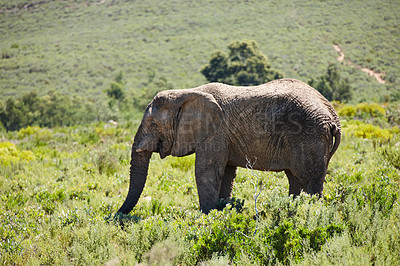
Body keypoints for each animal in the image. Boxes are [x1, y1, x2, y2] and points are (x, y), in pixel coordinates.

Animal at [116, 78, 340, 214]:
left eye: (153, 124)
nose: (118, 216)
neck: (188, 93)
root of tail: (333, 115)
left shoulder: (215, 133)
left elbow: (206, 171)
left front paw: (205, 217)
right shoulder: (224, 137)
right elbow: (225, 174)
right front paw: (221, 212)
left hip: (309, 134)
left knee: (310, 181)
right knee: (295, 179)